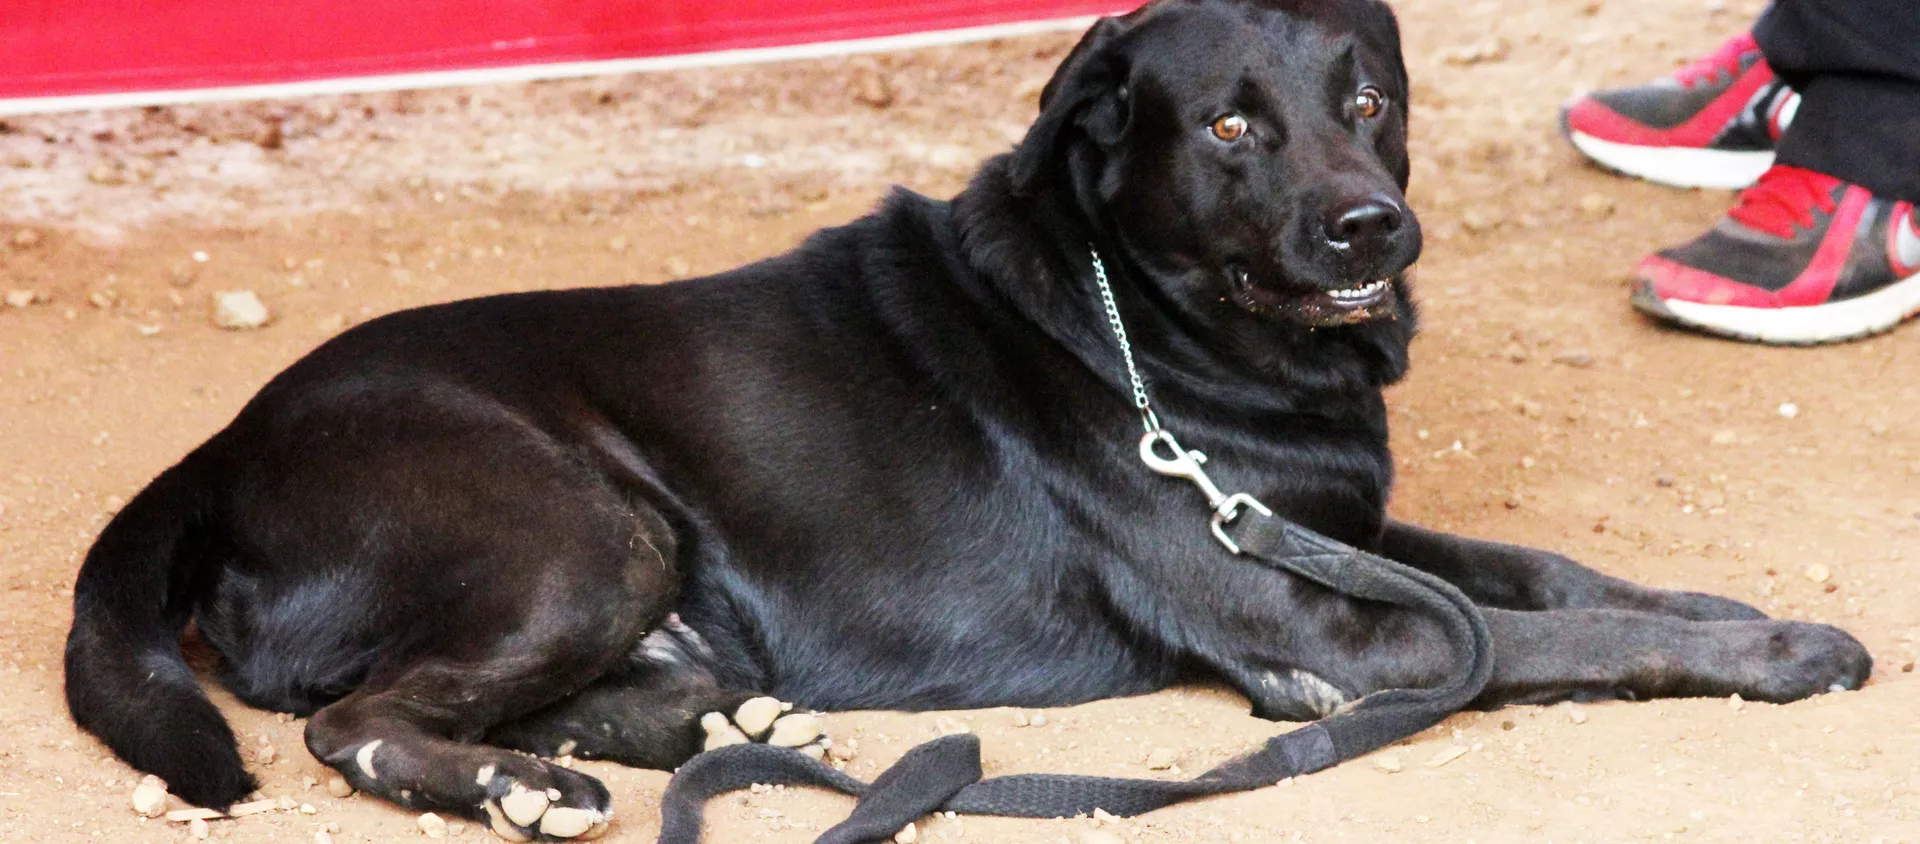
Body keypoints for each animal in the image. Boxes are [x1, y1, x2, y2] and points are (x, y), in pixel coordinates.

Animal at [66, 0, 1872, 839]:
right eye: (1232, 127)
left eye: (1369, 99)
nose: (1376, 230)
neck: (1148, 320)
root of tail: (216, 451)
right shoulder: (1321, 633)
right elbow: (1572, 635)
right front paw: (1780, 651)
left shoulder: (1339, 532)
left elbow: (1561, 576)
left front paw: (1721, 601)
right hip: (584, 527)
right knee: (353, 715)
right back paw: (523, 782)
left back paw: (712, 724)